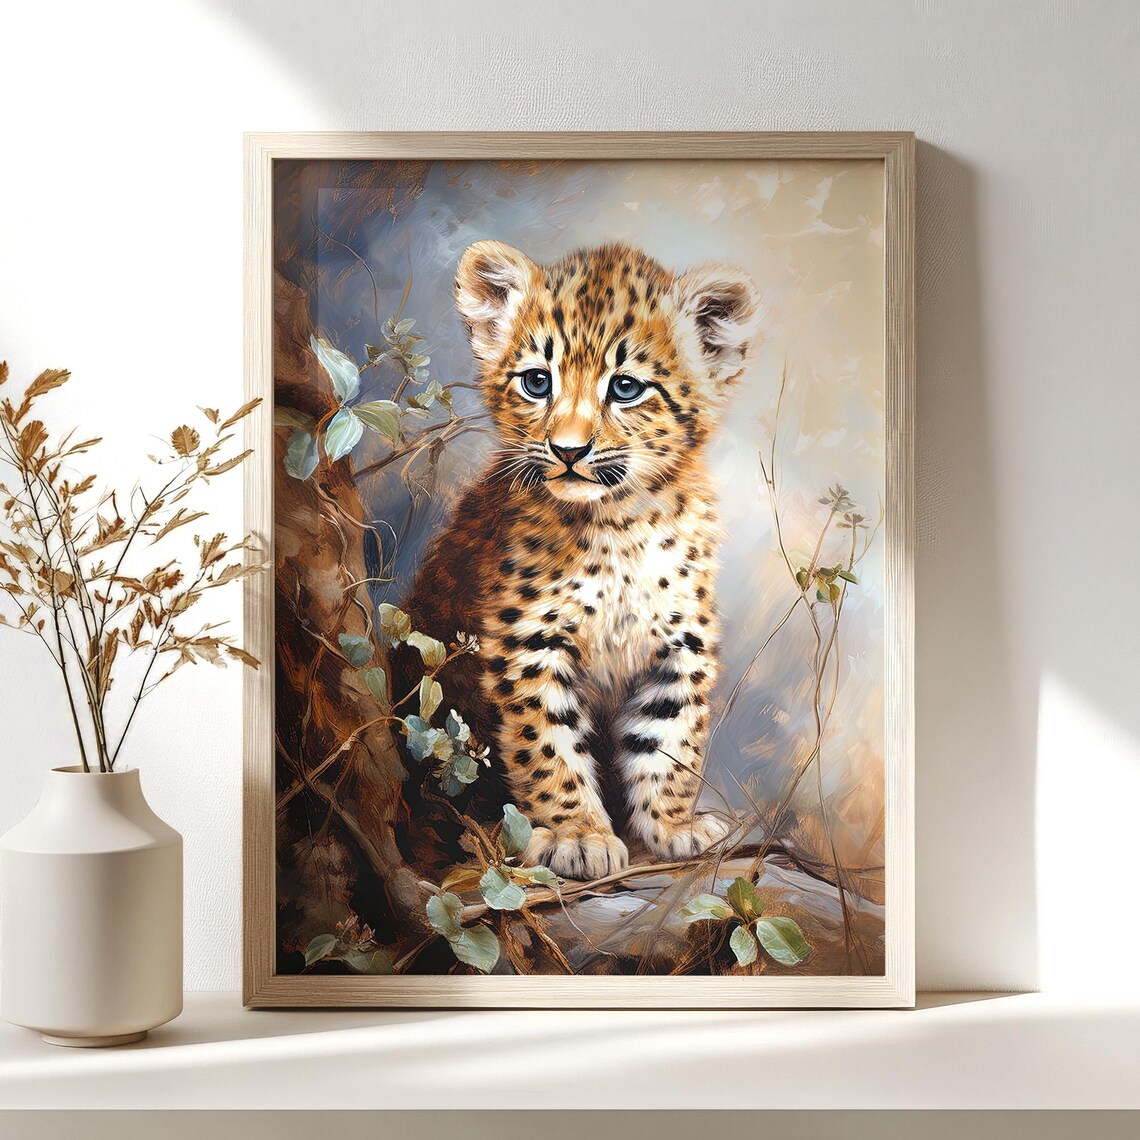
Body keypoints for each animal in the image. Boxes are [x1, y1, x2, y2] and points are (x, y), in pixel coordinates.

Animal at [401, 239, 763, 880]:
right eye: (536, 382)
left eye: (625, 388)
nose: (568, 451)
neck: (621, 524)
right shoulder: (528, 641)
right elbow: (548, 746)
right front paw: (577, 835)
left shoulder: (680, 645)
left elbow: (669, 741)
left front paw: (672, 827)